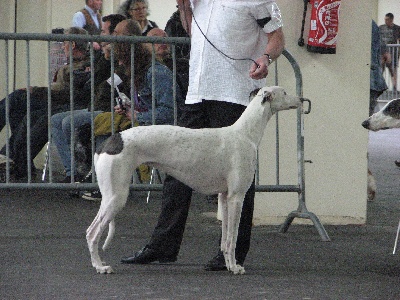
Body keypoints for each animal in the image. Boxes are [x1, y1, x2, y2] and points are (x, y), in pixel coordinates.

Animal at [87, 85, 304, 274]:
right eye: (285, 92)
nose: (302, 100)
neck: (245, 133)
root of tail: (110, 141)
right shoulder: (236, 197)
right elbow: (232, 238)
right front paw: (235, 268)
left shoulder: (224, 197)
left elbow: (225, 240)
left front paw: (226, 265)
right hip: (117, 196)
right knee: (92, 233)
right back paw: (100, 267)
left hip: (111, 195)